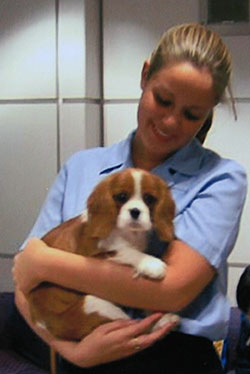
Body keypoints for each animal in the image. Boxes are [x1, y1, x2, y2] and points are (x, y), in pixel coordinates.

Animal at [27, 168, 176, 340]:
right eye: (122, 197)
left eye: (149, 199)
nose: (135, 211)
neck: (127, 232)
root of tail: (43, 323)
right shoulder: (94, 254)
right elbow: (125, 250)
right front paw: (152, 263)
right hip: (94, 305)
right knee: (136, 327)